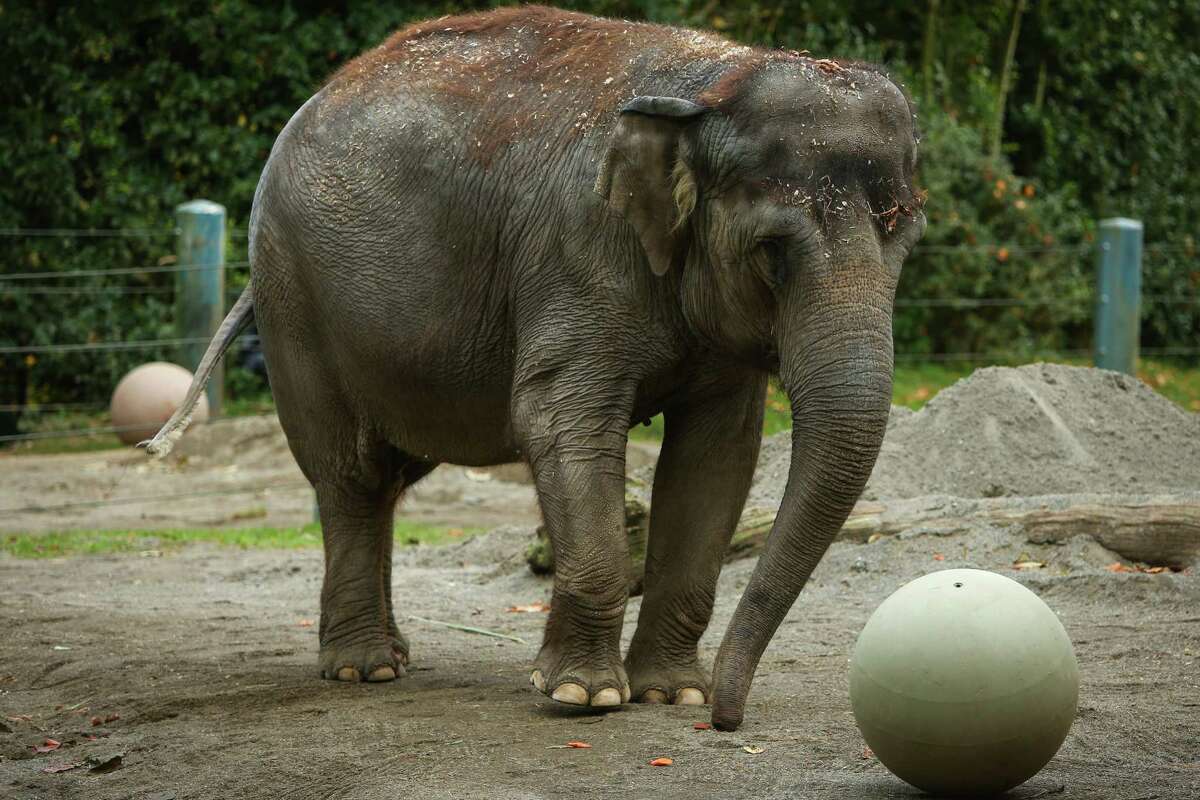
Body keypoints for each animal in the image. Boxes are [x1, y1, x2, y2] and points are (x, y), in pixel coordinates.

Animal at [146, 5, 925, 731]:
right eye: (771, 249)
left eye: (907, 239)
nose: (726, 721)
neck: (711, 85)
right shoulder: (577, 252)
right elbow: (558, 421)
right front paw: (585, 696)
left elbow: (716, 455)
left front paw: (672, 694)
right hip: (295, 295)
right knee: (350, 474)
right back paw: (363, 670)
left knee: (392, 474)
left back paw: (393, 656)